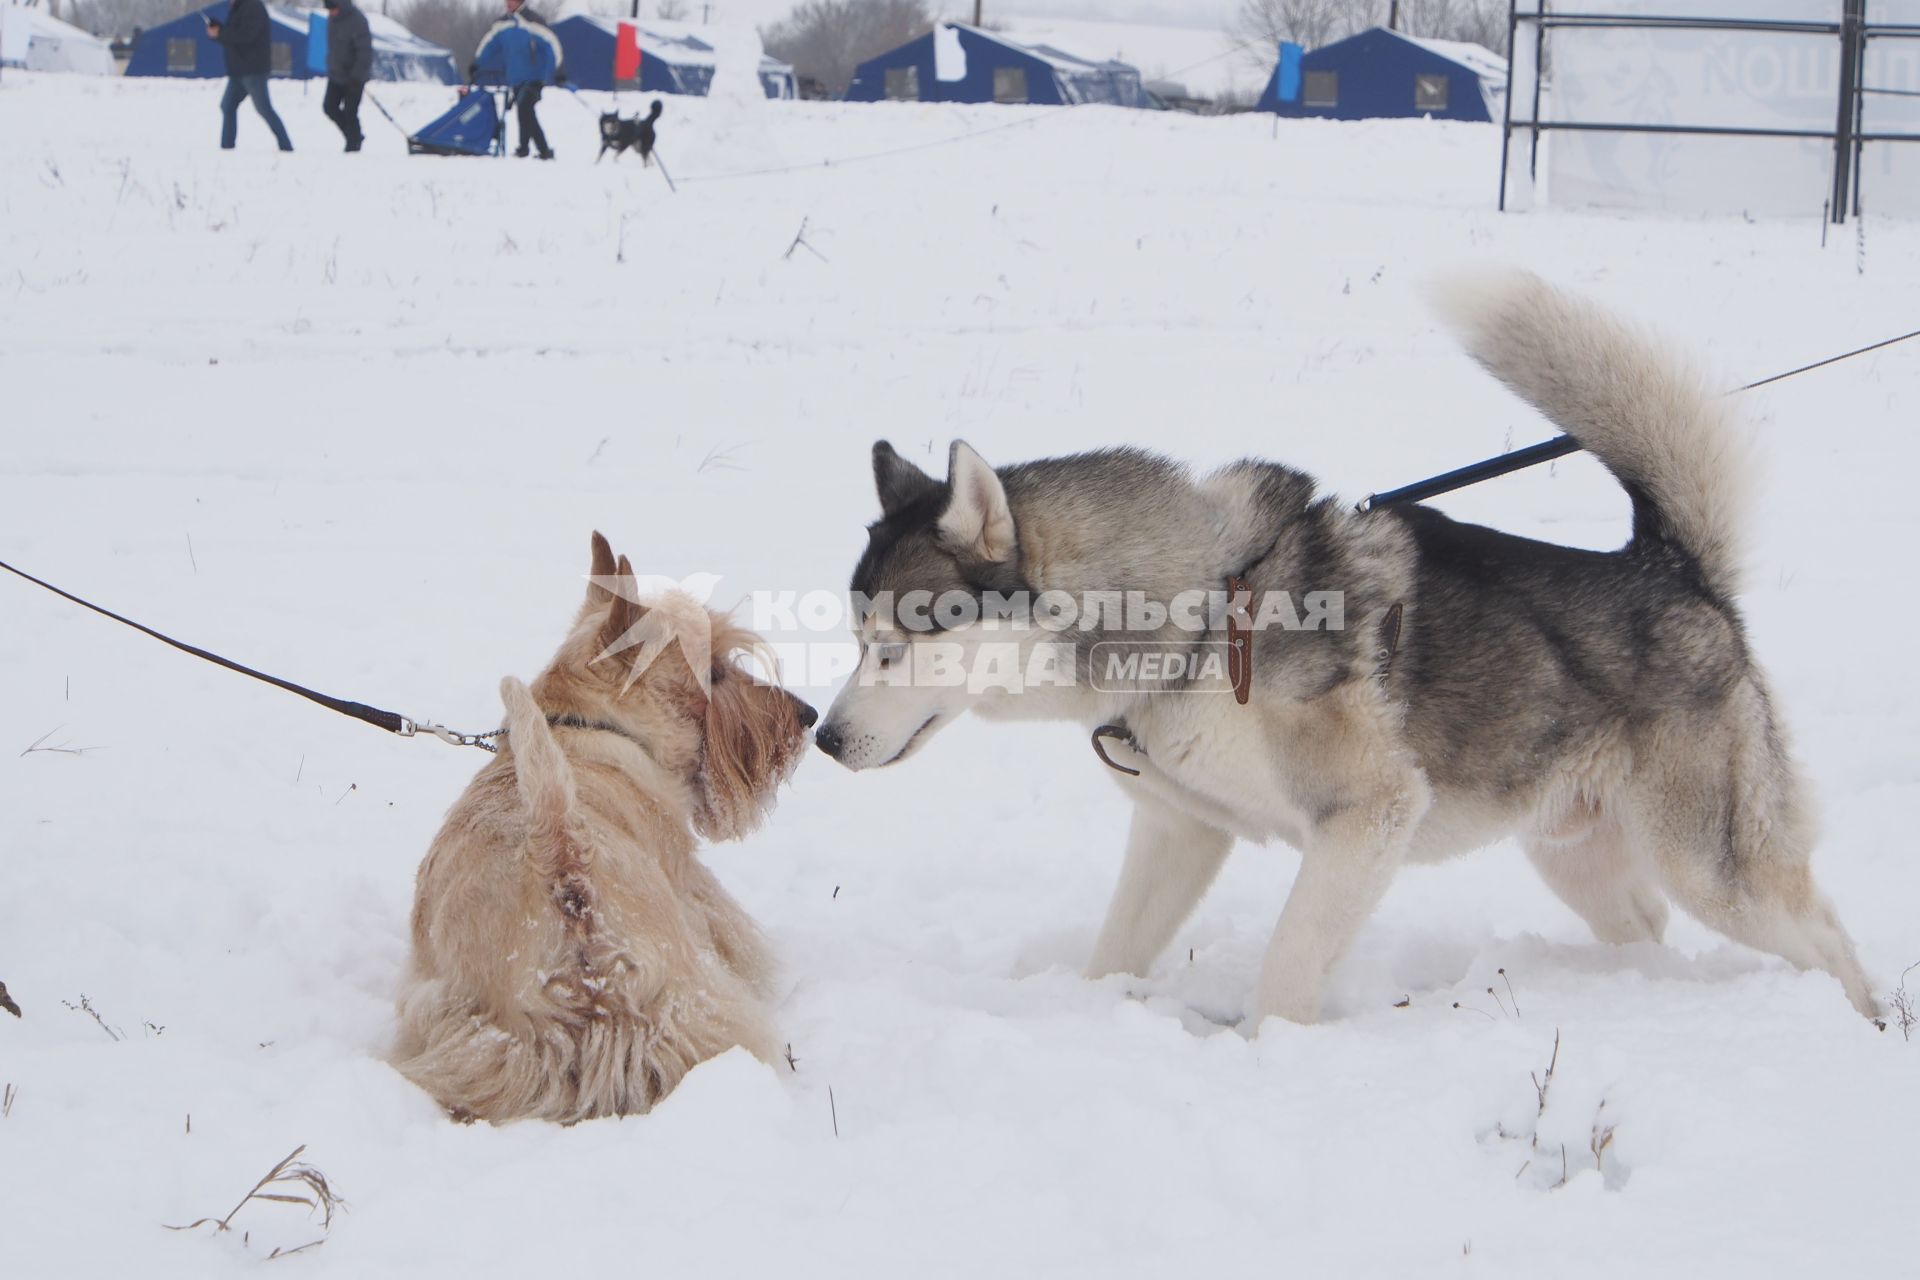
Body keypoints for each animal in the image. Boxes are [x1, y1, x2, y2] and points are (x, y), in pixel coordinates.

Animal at [814, 276, 1873, 1028]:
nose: (823, 739)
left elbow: (1289, 964)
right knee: (1647, 926)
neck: (1201, 614)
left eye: (894, 647)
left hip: (1716, 870)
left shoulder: (1367, 816)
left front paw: (1264, 1053)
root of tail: (1672, 570)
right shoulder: (1179, 830)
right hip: (1578, 854)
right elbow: (1115, 948)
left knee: (1827, 936)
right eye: (856, 640)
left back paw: (1863, 1025)